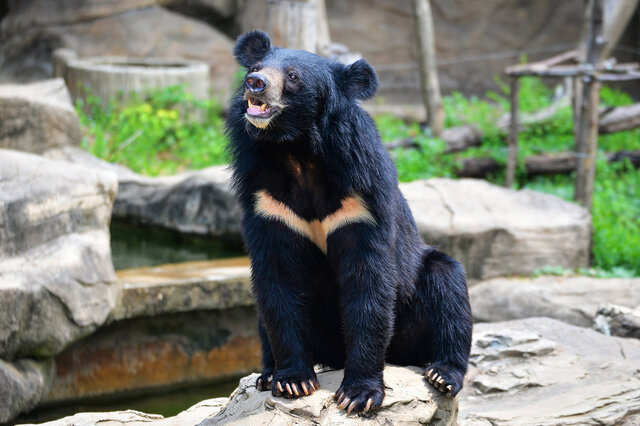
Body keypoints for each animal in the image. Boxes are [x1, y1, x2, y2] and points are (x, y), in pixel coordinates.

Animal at [228, 30, 472, 416]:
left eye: (293, 76)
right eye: (255, 67)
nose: (256, 83)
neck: (296, 151)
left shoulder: (360, 200)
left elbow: (367, 283)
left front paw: (359, 394)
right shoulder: (268, 205)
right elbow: (278, 282)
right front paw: (293, 381)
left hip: (417, 306)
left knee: (447, 285)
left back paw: (442, 374)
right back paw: (266, 374)